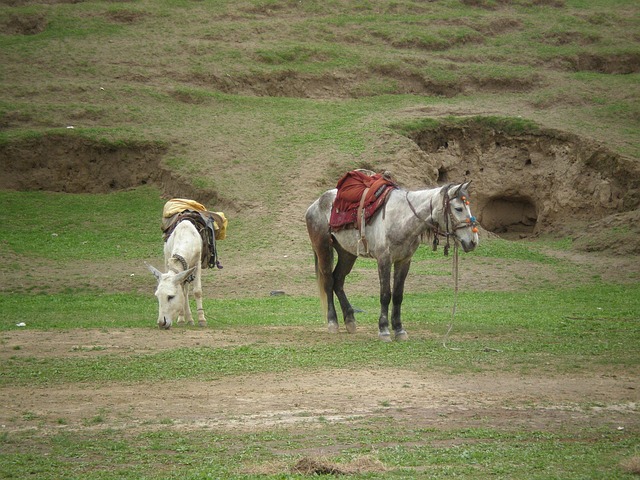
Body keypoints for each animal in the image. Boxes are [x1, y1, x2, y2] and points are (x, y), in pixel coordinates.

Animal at [305, 180, 479, 341]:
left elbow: (398, 295)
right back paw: (332, 322)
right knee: (329, 282)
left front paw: (399, 330)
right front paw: (384, 330)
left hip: (347, 253)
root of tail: (314, 205)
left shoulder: (404, 261)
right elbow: (385, 295)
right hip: (323, 248)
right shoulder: (384, 260)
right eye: (458, 208)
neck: (401, 218)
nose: (473, 241)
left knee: (338, 280)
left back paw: (350, 320)